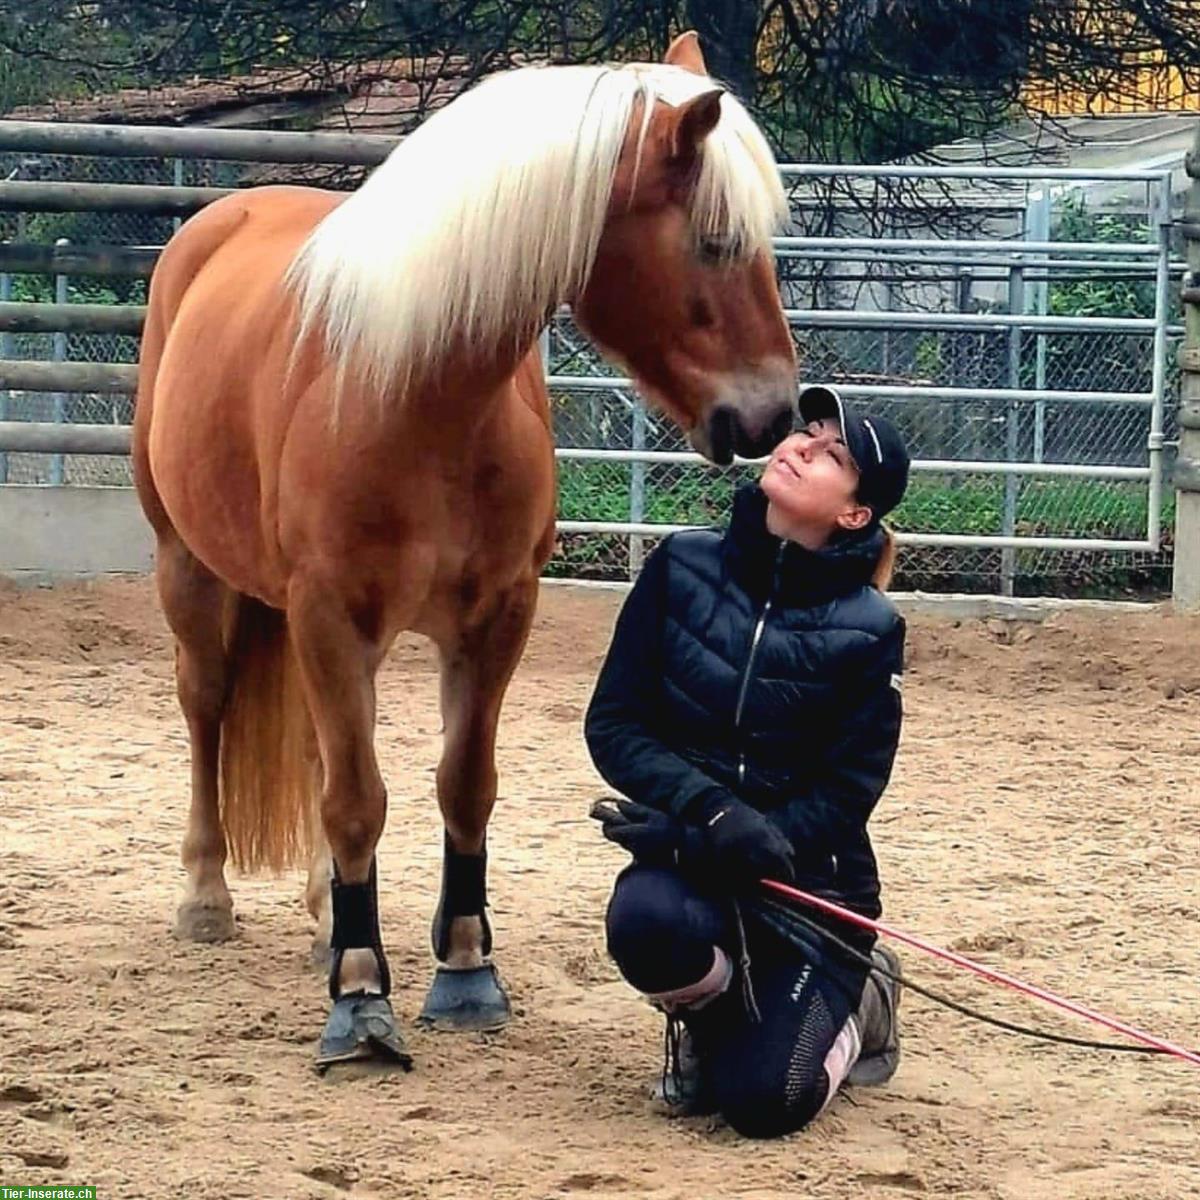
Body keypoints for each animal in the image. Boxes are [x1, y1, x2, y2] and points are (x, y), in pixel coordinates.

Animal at [131, 32, 796, 1070]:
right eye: (717, 243)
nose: (774, 414)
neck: (416, 396)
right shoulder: (330, 614)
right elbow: (358, 801)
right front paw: (361, 994)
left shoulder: (495, 617)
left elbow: (462, 786)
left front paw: (466, 967)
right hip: (190, 573)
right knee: (207, 710)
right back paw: (206, 898)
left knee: (320, 750)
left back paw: (323, 911)